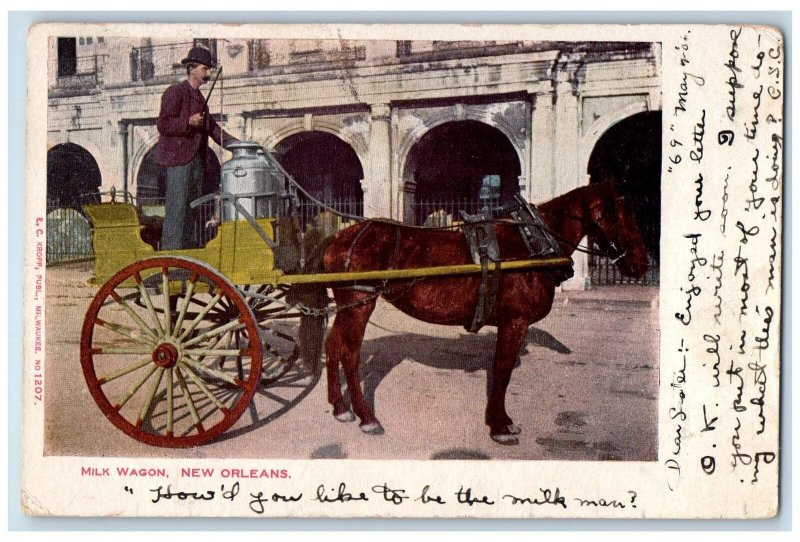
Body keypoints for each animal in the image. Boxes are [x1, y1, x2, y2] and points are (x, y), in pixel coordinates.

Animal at [316, 183, 648, 446]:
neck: (531, 241)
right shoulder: (515, 321)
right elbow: (502, 371)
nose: (641, 265)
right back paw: (367, 417)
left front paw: (502, 421)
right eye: (622, 214)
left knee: (332, 346)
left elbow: (502, 371)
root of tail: (338, 237)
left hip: (347, 306)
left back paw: (340, 408)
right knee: (350, 355)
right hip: (359, 303)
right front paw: (500, 426)